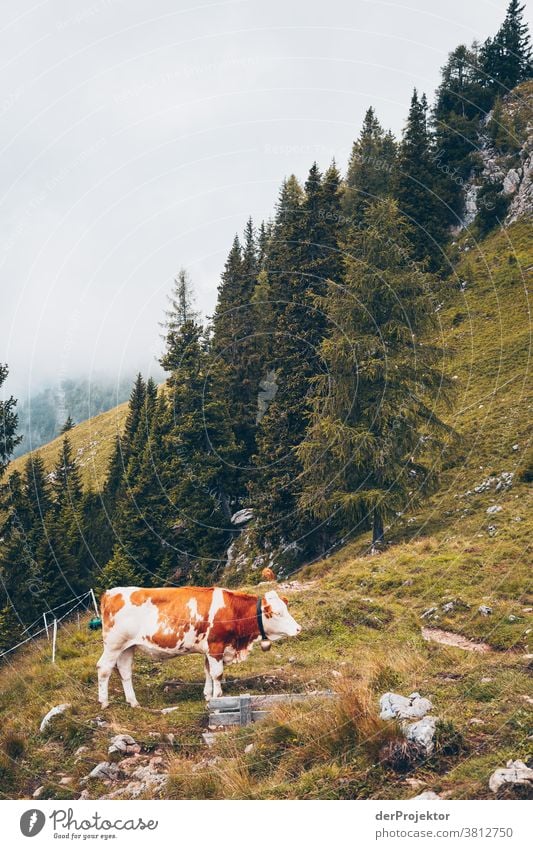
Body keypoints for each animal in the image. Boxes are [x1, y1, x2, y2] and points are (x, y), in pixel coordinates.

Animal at [96, 584, 302, 708]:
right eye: (277, 613)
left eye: (286, 609)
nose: (298, 628)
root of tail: (110, 593)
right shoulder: (216, 645)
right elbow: (217, 673)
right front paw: (218, 696)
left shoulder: (209, 649)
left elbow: (208, 671)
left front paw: (208, 695)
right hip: (113, 644)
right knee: (104, 668)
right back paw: (104, 702)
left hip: (127, 647)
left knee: (125, 672)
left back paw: (134, 702)